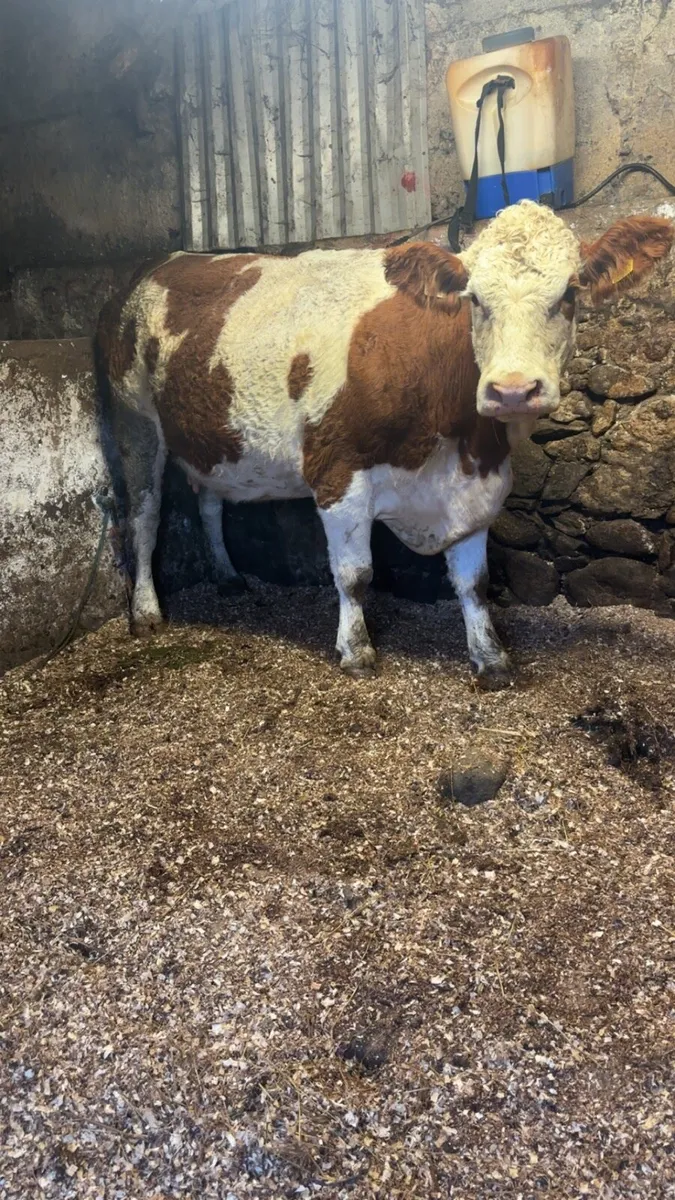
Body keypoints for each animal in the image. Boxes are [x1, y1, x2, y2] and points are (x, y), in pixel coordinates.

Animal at [96, 201, 672, 688]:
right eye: (474, 299)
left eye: (570, 295)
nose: (512, 389)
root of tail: (160, 265)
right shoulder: (337, 472)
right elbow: (355, 575)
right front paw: (356, 652)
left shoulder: (477, 486)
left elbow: (474, 583)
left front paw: (490, 658)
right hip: (135, 423)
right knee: (144, 517)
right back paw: (146, 612)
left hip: (213, 437)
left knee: (210, 502)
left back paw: (227, 574)